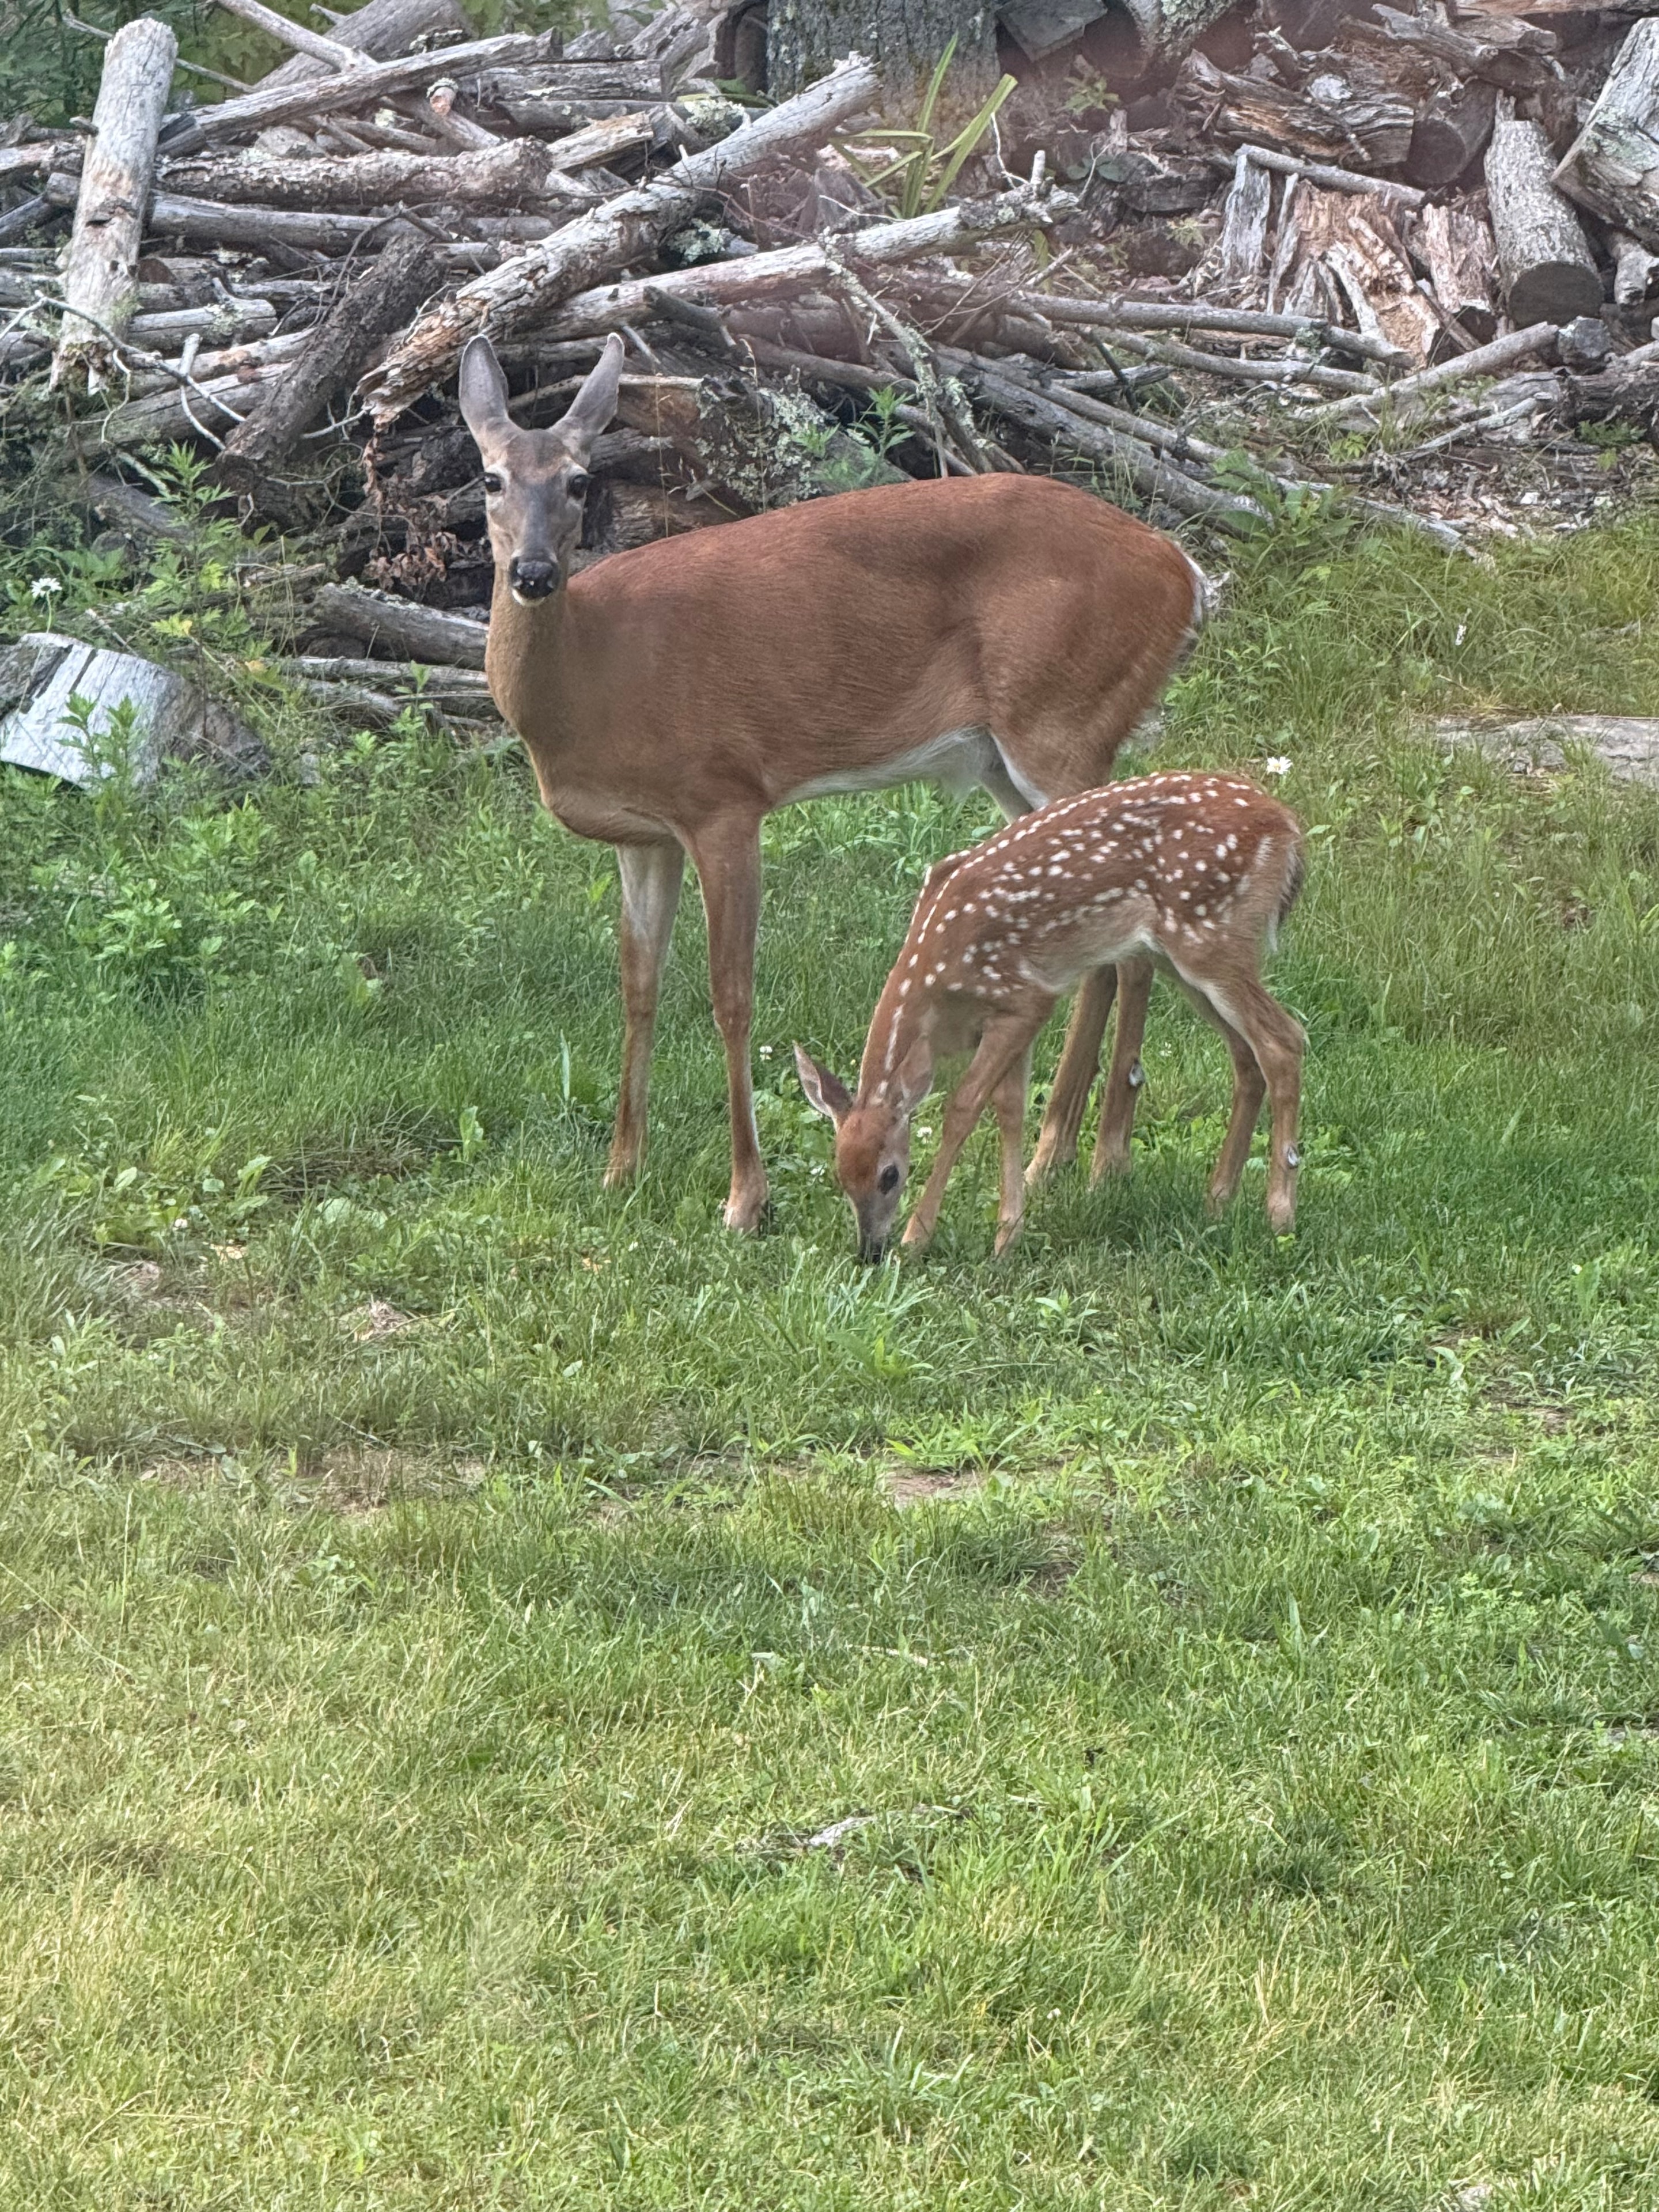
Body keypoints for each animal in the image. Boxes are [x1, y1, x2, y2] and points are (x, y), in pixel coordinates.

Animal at [458, 330, 1205, 1232]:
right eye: (491, 478)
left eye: (578, 481)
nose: (532, 572)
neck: (592, 677)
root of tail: (1184, 575)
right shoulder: (643, 836)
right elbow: (639, 986)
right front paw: (620, 1171)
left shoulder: (724, 794)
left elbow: (732, 996)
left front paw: (745, 1198)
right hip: (1010, 758)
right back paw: (1070, 1149)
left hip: (1063, 721)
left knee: (1128, 939)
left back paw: (1084, 1154)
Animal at [794, 772, 1306, 1261]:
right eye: (842, 1177)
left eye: (891, 1175)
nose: (870, 1251)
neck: (936, 984)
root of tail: (1287, 826)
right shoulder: (1003, 1020)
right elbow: (1011, 1110)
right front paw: (1008, 1236)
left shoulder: (1025, 999)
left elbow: (963, 1108)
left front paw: (918, 1237)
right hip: (1185, 961)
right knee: (1247, 1056)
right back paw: (1218, 1201)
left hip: (1210, 941)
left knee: (1285, 1040)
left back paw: (1279, 1214)